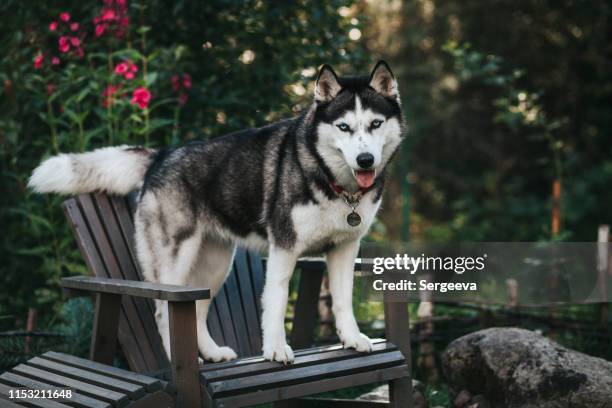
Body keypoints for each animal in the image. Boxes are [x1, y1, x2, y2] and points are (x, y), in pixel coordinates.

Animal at [28, 61, 404, 364]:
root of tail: (162, 155)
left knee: (195, 309)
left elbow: (342, 299)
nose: (365, 160)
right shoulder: (284, 248)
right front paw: (275, 349)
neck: (335, 183)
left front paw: (352, 338)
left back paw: (210, 354)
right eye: (344, 127)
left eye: (375, 124)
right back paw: (176, 362)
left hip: (214, 265)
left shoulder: (344, 248)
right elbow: (277, 301)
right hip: (174, 263)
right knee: (164, 312)